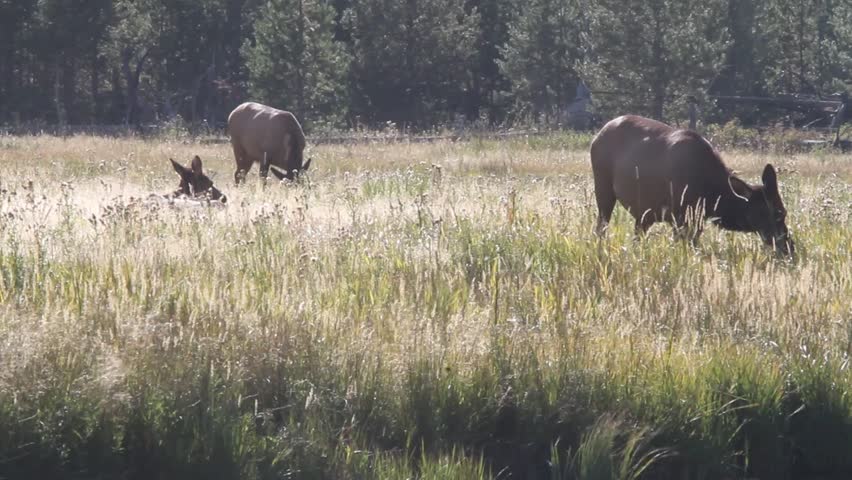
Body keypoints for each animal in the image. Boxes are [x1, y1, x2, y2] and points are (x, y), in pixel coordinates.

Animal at [591, 115, 794, 256]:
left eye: (783, 211)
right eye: (777, 213)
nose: (788, 248)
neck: (712, 196)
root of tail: (597, 135)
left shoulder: (695, 218)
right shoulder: (681, 216)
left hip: (644, 212)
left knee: (637, 234)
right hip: (603, 187)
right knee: (601, 226)